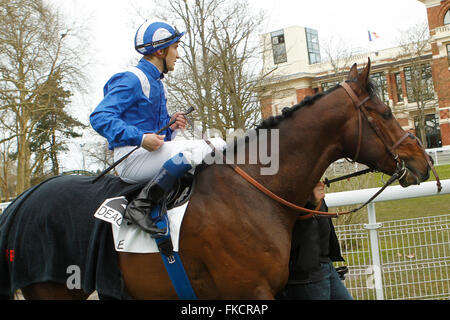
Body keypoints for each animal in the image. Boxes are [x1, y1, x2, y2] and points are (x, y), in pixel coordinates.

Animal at [1, 60, 432, 300]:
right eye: (385, 113)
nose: (424, 160)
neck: (255, 190)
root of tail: (23, 199)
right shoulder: (252, 289)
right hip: (52, 289)